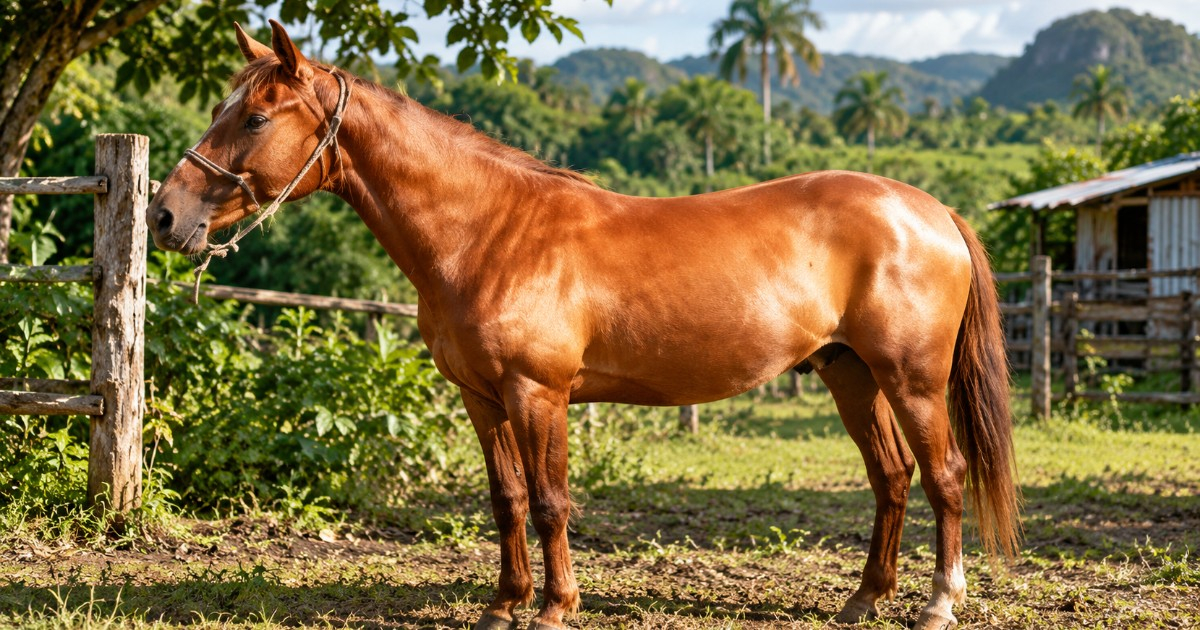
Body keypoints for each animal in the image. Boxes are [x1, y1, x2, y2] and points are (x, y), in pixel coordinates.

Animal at [147, 20, 1020, 630]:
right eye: (227, 107)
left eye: (257, 119)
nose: (164, 215)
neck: (488, 230)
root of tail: (932, 210)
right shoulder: (482, 398)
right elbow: (505, 500)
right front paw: (503, 604)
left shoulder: (540, 394)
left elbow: (550, 501)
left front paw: (554, 607)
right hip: (848, 373)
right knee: (891, 479)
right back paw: (864, 600)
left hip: (910, 379)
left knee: (942, 477)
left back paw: (938, 602)